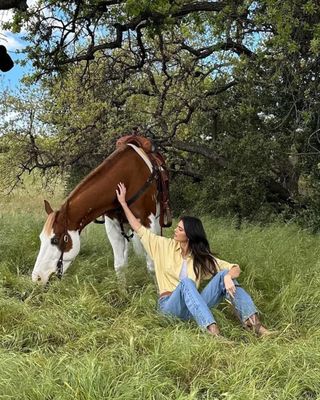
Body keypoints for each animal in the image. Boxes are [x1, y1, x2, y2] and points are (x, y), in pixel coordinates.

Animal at [32, 138, 171, 284]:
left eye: (55, 240)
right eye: (41, 238)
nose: (37, 277)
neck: (126, 178)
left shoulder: (148, 223)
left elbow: (152, 265)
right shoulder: (112, 226)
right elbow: (120, 266)